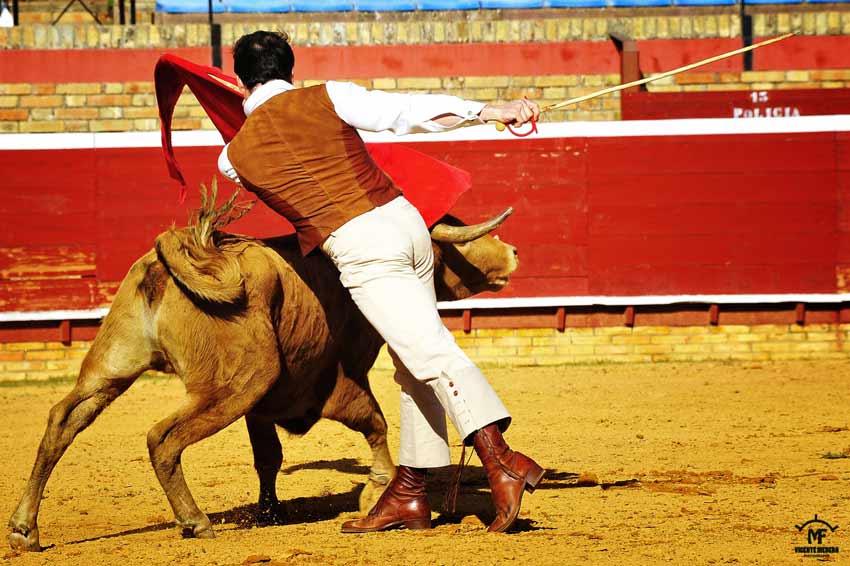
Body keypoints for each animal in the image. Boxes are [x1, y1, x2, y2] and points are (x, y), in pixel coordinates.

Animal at [8, 189, 516, 552]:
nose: (511, 251)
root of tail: (185, 255)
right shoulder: (339, 379)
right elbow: (374, 423)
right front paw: (376, 490)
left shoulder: (265, 407)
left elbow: (268, 456)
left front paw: (269, 511)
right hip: (236, 384)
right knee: (162, 438)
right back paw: (195, 521)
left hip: (114, 365)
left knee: (63, 420)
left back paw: (24, 529)